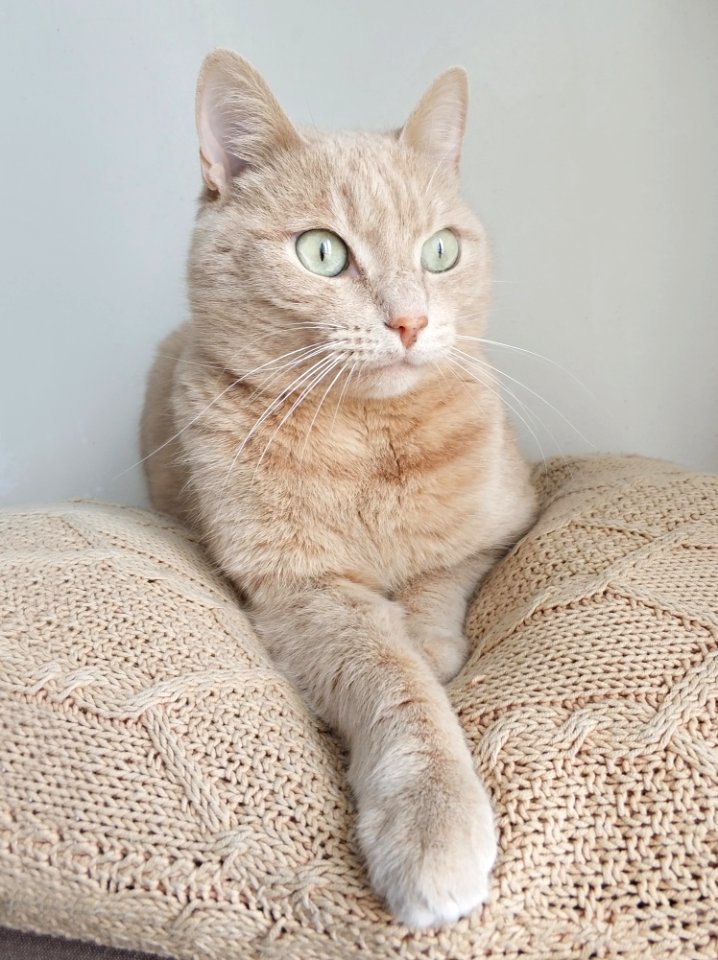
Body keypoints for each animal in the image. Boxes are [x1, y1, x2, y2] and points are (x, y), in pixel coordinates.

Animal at [141, 48, 536, 928]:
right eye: (322, 252)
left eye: (440, 252)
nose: (410, 323)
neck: (368, 441)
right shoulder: (303, 592)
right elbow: (394, 681)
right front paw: (433, 819)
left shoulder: (500, 527)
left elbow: (435, 585)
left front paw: (429, 638)